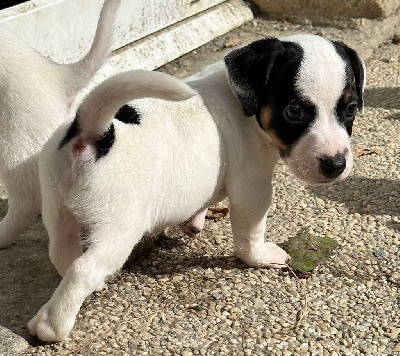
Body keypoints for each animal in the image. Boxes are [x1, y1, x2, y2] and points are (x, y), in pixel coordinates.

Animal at [29, 34, 364, 342]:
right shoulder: (252, 189)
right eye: (294, 111)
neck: (240, 101)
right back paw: (52, 327)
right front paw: (259, 257)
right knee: (82, 269)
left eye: (350, 109)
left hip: (59, 211)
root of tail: (92, 135)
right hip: (119, 229)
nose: (335, 164)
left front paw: (195, 220)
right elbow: (250, 234)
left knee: (61, 253)